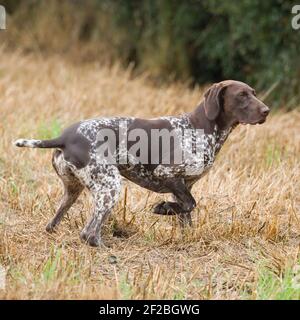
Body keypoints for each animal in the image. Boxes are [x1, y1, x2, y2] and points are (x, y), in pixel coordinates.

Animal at [14, 80, 270, 248]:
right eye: (242, 95)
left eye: (254, 93)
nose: (266, 111)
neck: (201, 128)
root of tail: (64, 137)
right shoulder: (167, 173)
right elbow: (191, 203)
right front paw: (162, 208)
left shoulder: (183, 185)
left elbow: (187, 213)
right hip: (110, 187)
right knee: (88, 233)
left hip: (73, 191)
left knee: (54, 224)